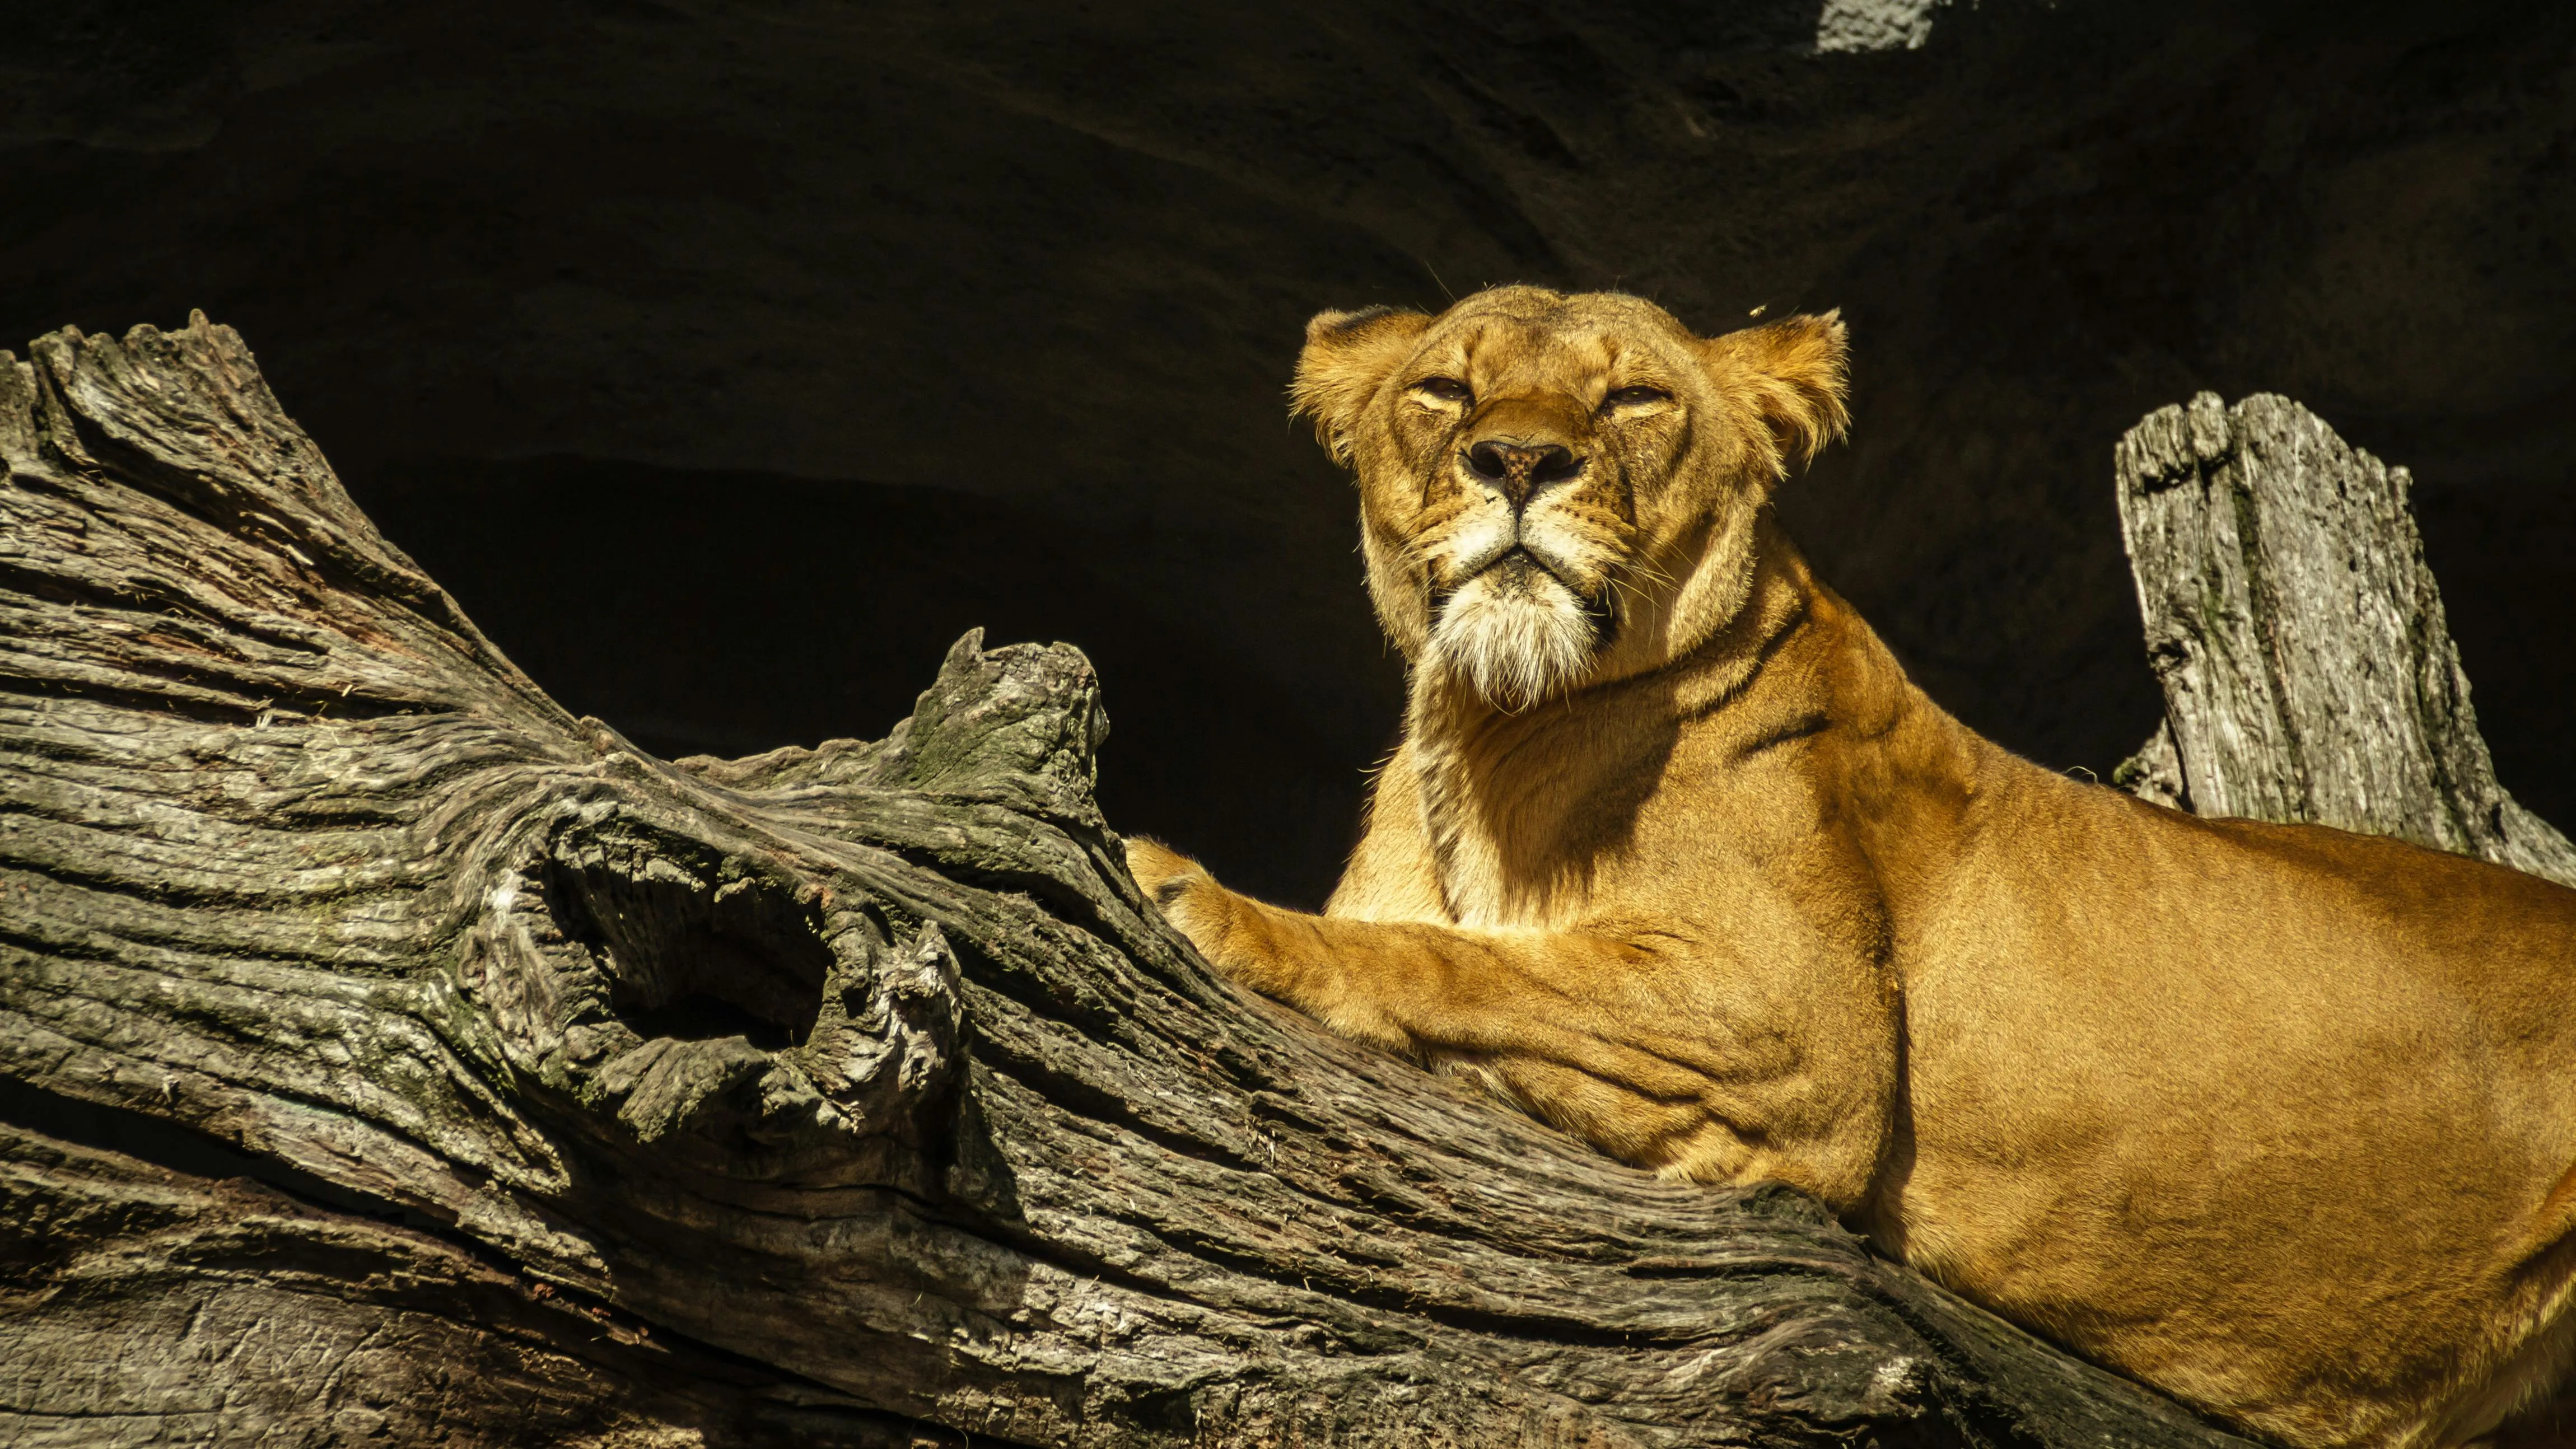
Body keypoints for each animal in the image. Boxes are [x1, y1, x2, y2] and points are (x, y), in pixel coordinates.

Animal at [1124, 286, 2576, 1448]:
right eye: (1444, 389)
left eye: (1633, 395)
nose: (1518, 459)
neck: (1485, 731)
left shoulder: (1796, 1034)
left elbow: (1463, 964)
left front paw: (1200, 895)